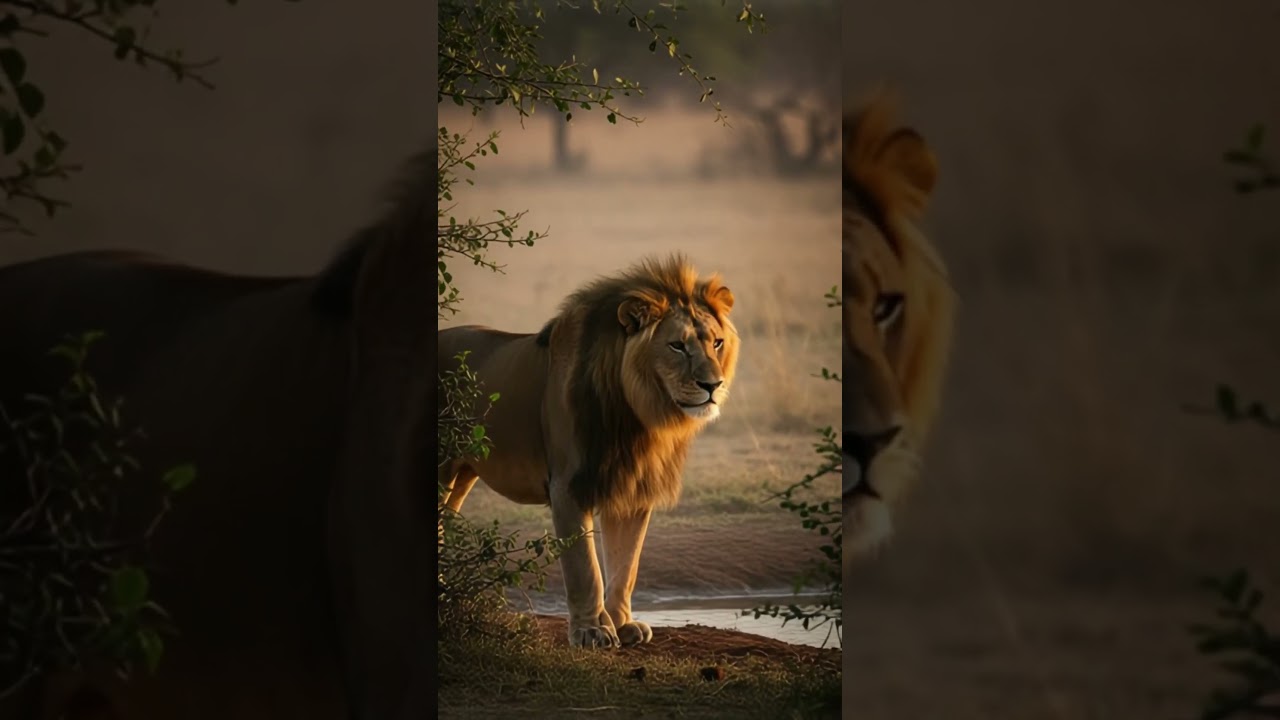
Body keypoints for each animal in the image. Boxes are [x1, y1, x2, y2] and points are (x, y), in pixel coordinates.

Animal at [438, 254, 739, 649]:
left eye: (717, 343)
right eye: (677, 346)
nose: (713, 385)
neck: (639, 416)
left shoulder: (631, 489)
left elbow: (626, 565)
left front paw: (622, 623)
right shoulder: (568, 486)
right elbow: (585, 568)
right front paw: (591, 631)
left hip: (461, 473)